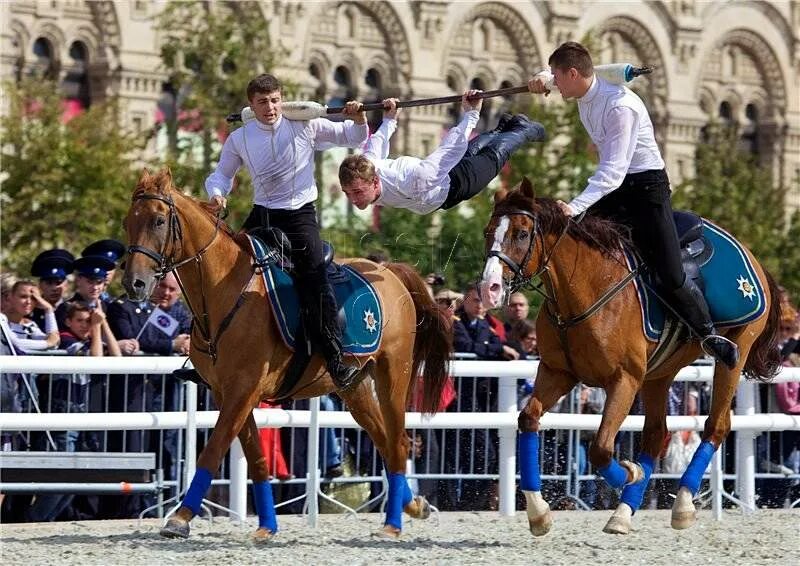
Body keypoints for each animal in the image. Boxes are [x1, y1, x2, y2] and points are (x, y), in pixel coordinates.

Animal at [122, 170, 454, 540]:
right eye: (127, 222)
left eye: (159, 220)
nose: (133, 283)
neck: (226, 290)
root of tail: (392, 273)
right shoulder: (228, 393)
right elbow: (256, 459)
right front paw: (266, 526)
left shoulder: (243, 390)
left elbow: (213, 450)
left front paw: (180, 518)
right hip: (354, 388)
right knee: (383, 440)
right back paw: (414, 507)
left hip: (394, 375)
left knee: (398, 442)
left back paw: (393, 524)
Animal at [478, 180, 780, 540]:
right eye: (488, 232)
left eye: (522, 233)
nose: (489, 288)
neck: (587, 289)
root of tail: (753, 259)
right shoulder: (557, 372)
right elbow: (528, 418)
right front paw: (539, 513)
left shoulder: (624, 380)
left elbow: (601, 447)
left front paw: (630, 472)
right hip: (659, 375)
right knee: (656, 434)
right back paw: (623, 512)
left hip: (733, 354)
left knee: (716, 426)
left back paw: (683, 504)